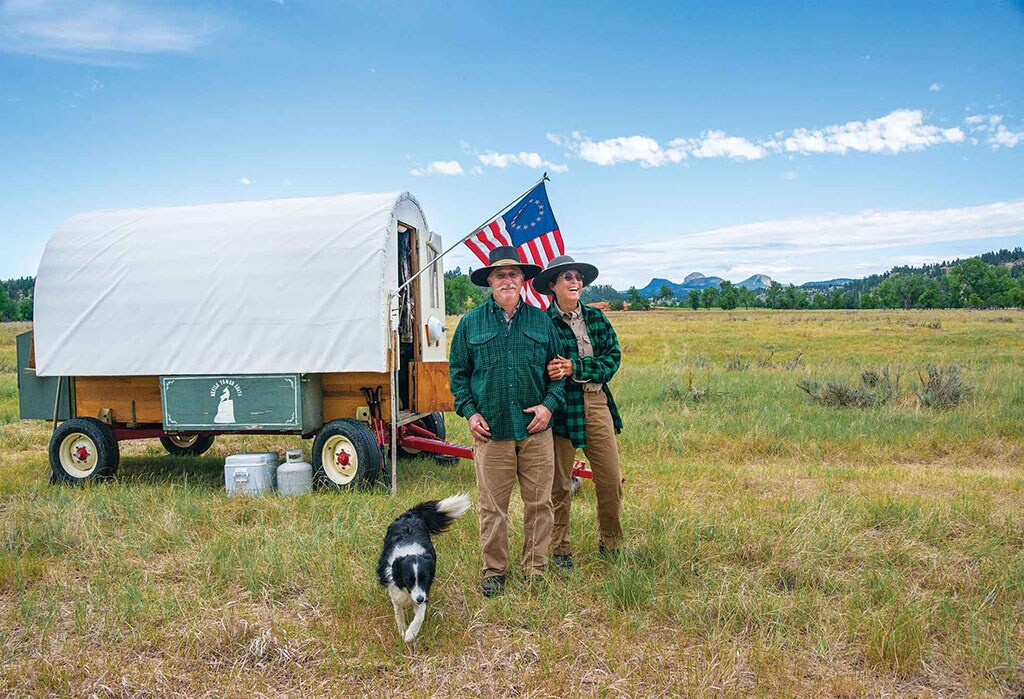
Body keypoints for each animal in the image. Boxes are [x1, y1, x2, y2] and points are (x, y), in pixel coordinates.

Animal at [376, 495, 471, 642]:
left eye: (424, 579)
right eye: (408, 580)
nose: (420, 599)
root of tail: (411, 514)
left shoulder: (424, 590)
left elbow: (420, 616)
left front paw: (410, 634)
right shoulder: (395, 589)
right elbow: (398, 612)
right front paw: (402, 631)